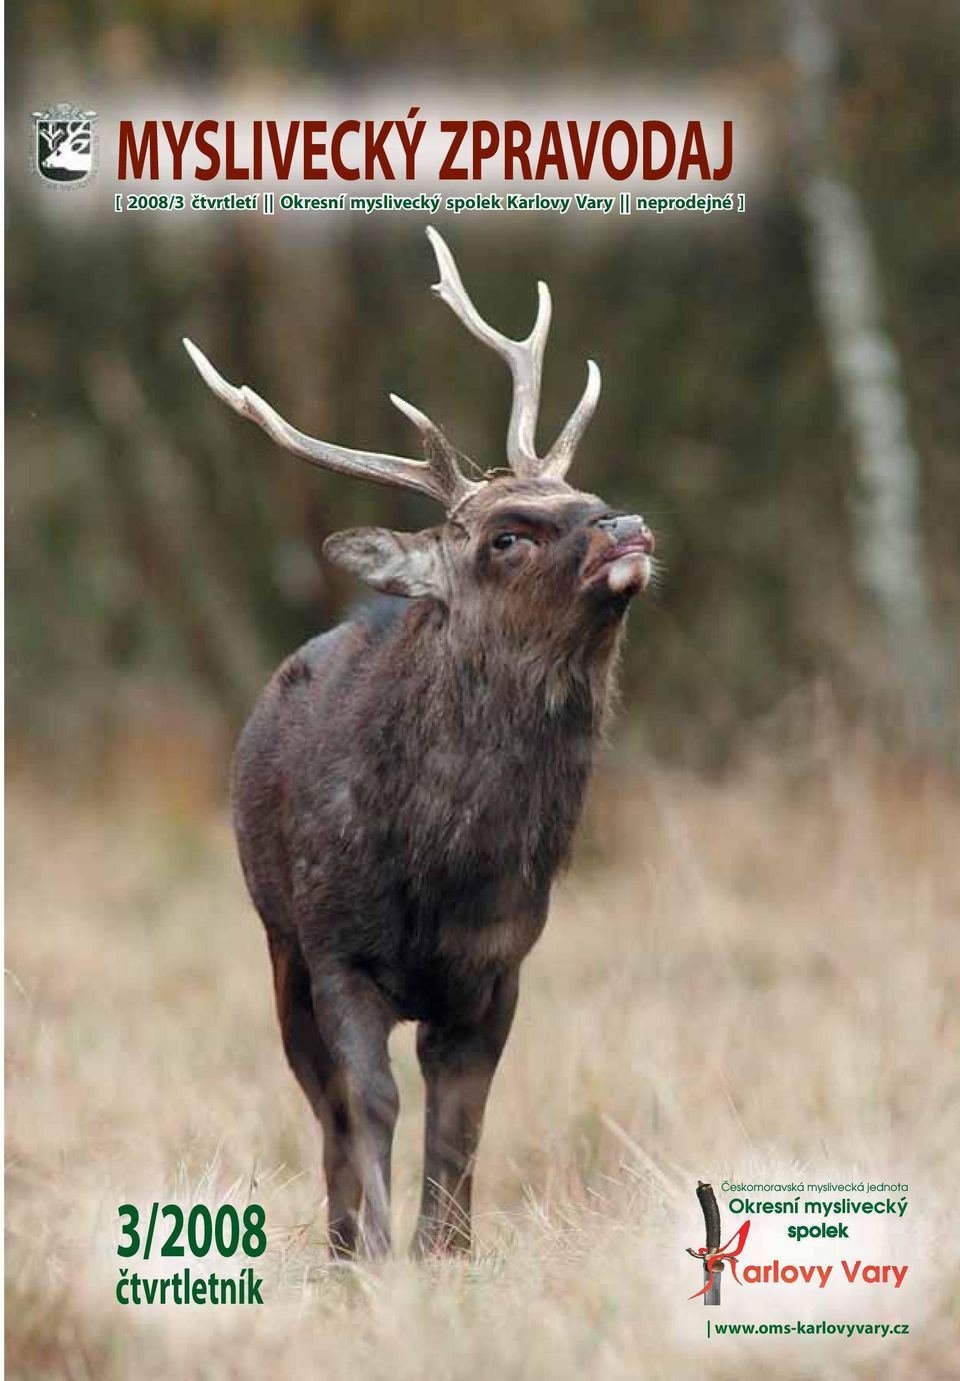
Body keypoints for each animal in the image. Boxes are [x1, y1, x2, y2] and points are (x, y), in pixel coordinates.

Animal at [183, 229, 657, 1264]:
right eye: (506, 535)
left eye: (585, 490)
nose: (629, 525)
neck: (445, 868)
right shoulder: (336, 947)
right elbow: (367, 1100)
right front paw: (375, 1253)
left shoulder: (502, 960)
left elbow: (463, 1114)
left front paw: (448, 1251)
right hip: (276, 938)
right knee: (317, 1097)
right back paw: (337, 1244)